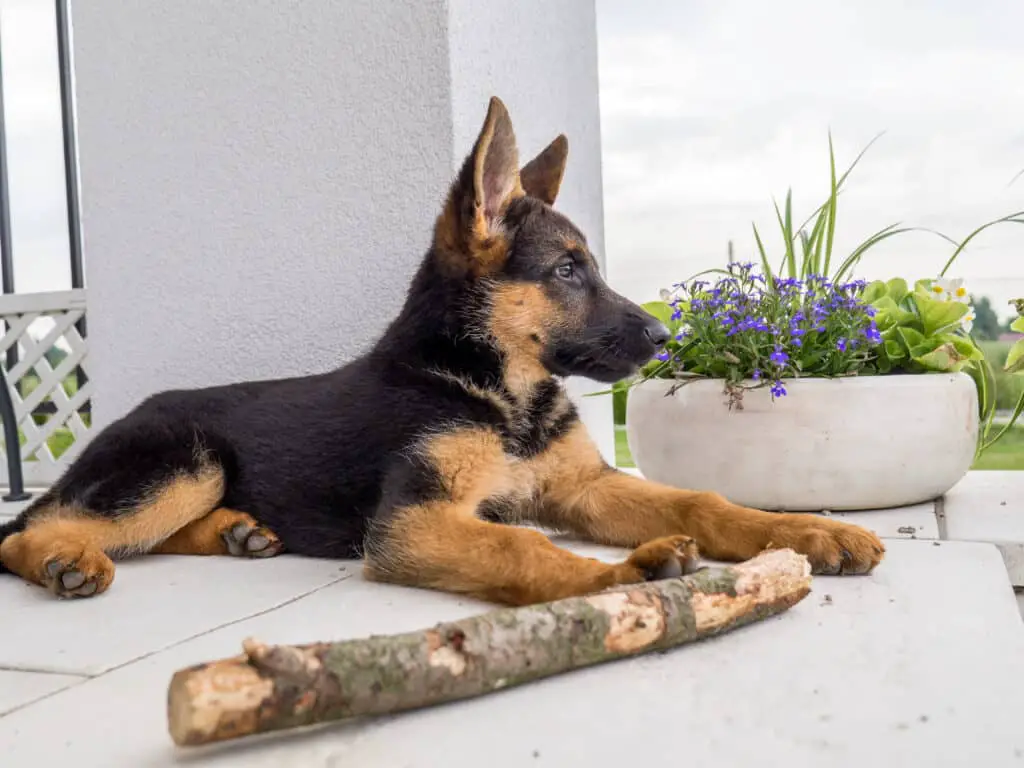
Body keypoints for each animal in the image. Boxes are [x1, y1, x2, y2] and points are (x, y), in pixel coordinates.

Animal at [0, 97, 880, 602]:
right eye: (567, 270)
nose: (667, 339)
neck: (494, 386)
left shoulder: (583, 488)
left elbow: (702, 501)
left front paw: (809, 533)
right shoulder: (415, 522)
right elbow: (523, 549)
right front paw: (623, 576)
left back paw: (235, 534)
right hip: (187, 459)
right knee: (30, 531)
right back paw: (66, 560)